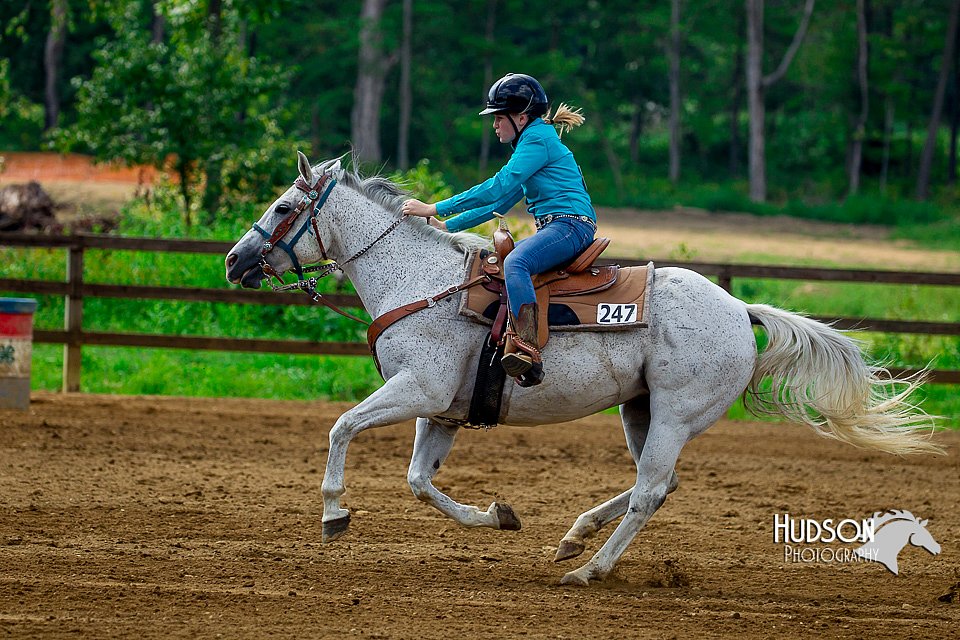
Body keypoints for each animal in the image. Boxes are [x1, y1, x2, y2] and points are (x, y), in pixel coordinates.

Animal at [223, 150, 936, 584]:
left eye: (284, 207)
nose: (234, 261)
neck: (423, 285)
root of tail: (740, 309)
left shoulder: (415, 389)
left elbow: (343, 426)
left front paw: (333, 514)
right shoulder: (441, 410)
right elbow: (419, 481)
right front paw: (497, 517)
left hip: (676, 411)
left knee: (651, 489)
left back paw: (588, 569)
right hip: (641, 410)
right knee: (662, 484)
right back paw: (574, 537)